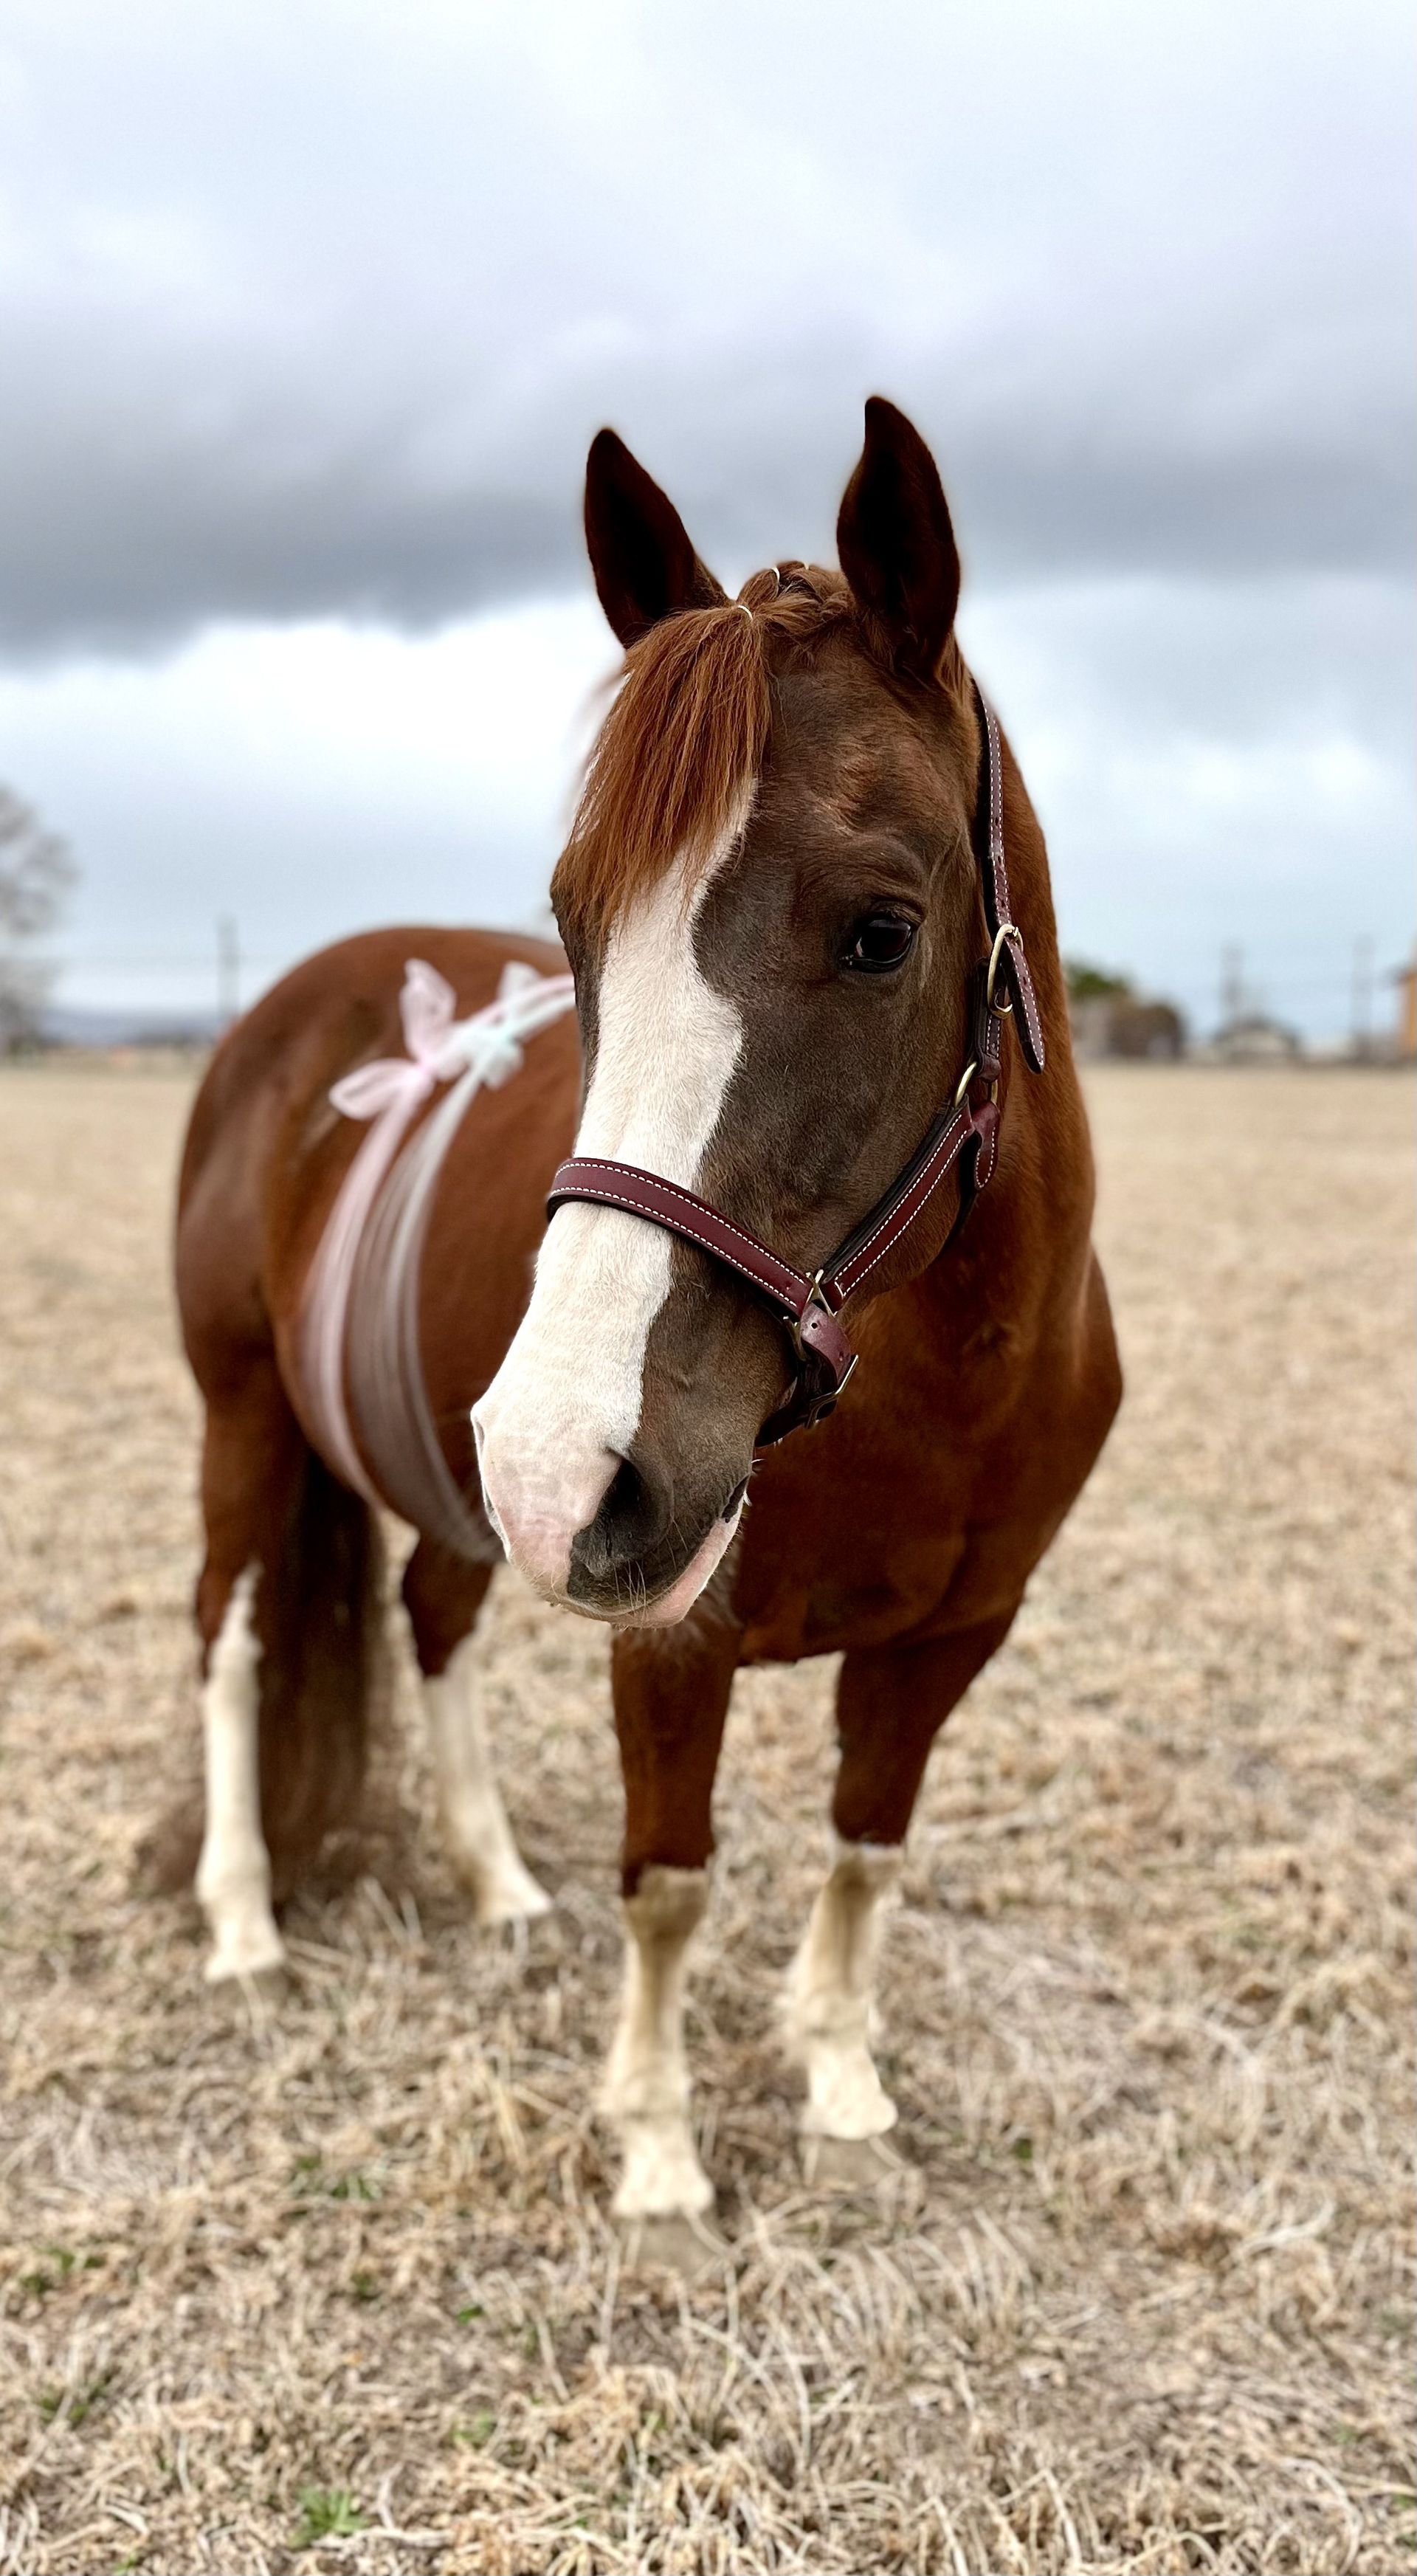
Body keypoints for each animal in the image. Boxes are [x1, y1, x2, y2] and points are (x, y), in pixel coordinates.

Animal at [163, 396, 1121, 2231]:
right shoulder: (675, 1635)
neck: (945, 1379)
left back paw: (492, 1879)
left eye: (880, 930)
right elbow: (670, 1880)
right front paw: (662, 2145)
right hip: (256, 1421)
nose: (565, 1456)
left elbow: (866, 1846)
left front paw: (840, 2078)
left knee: (431, 1617)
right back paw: (241, 1914)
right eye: (573, 921)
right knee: (231, 1640)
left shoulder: (958, 1633)